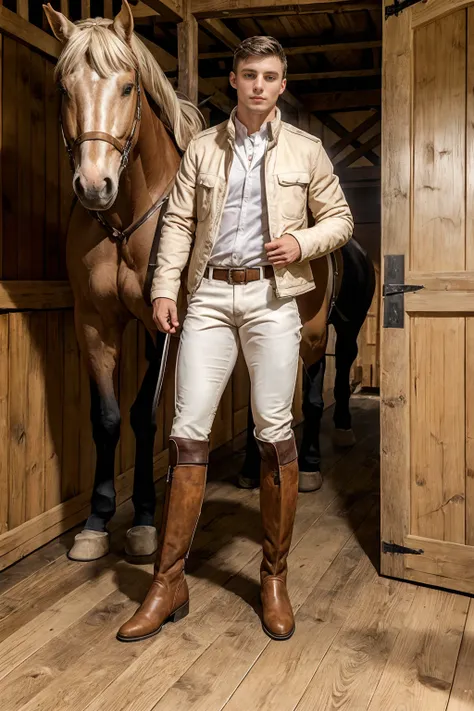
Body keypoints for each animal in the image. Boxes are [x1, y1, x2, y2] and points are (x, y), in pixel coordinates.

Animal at [44, 2, 206, 564]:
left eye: (128, 86)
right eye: (64, 87)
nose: (95, 185)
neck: (125, 218)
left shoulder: (164, 326)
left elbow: (143, 416)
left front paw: (145, 520)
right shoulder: (94, 324)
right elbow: (108, 419)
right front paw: (96, 521)